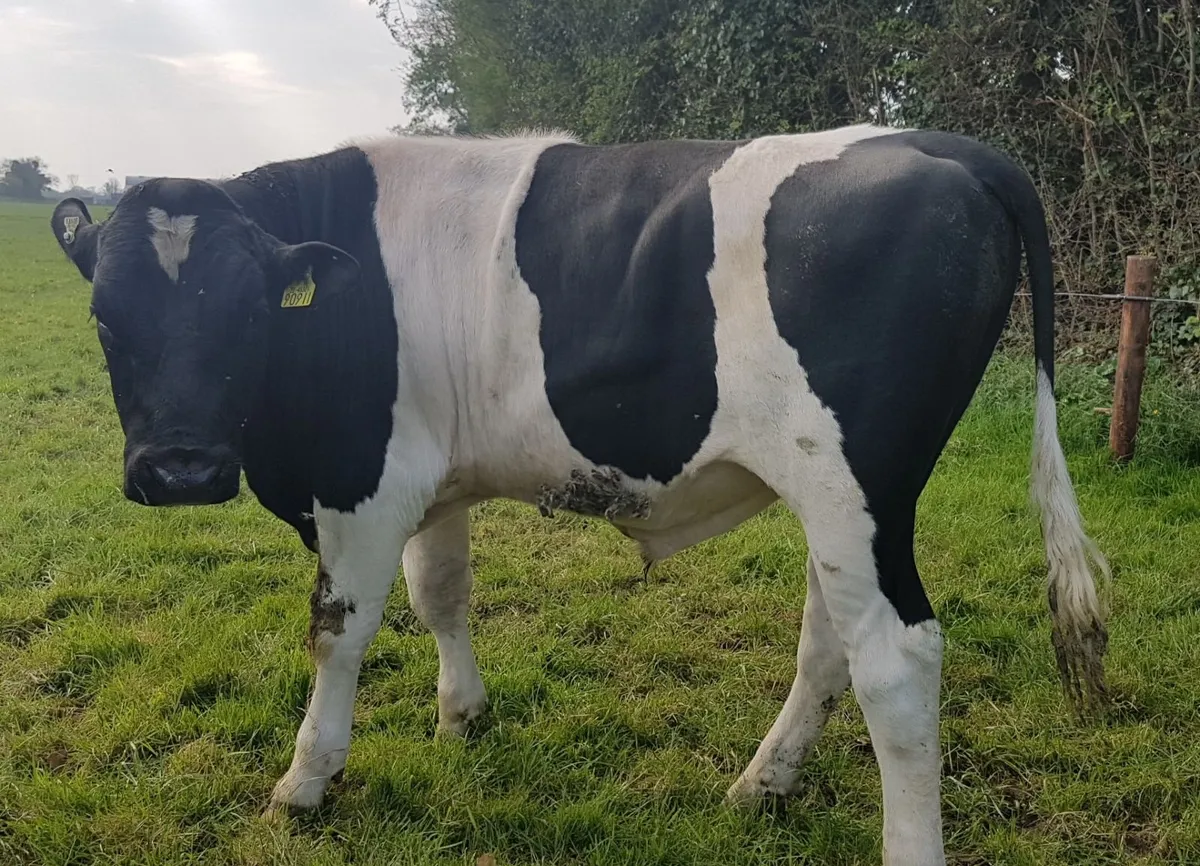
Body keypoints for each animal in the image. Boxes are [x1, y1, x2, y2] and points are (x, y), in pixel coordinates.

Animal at [50, 123, 1108, 865]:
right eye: (103, 317)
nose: (181, 470)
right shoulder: (435, 480)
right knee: (830, 641)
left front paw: (306, 779)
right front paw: (462, 715)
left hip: (859, 484)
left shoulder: (361, 481)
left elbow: (337, 630)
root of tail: (945, 144)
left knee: (895, 660)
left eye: (245, 313)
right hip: (841, 502)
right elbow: (442, 594)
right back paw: (763, 781)